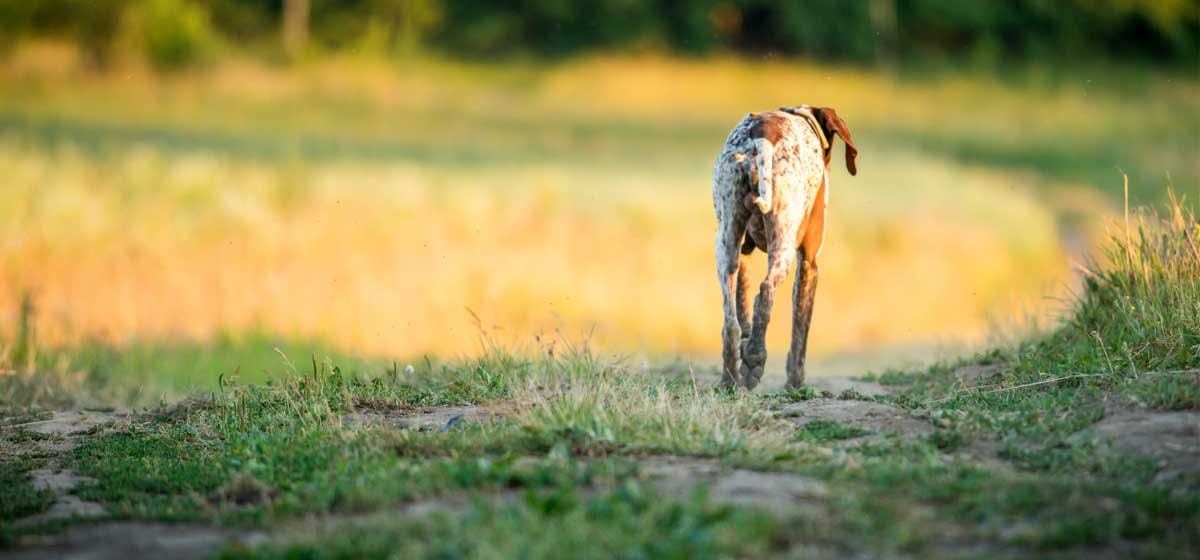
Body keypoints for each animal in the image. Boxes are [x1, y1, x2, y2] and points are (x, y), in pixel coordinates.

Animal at [710, 105, 854, 390]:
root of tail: (760, 139)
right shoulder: (809, 263)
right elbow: (800, 335)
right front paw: (796, 381)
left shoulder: (744, 253)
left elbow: (743, 310)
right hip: (783, 248)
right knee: (765, 292)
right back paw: (755, 360)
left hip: (726, 244)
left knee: (730, 321)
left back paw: (731, 376)